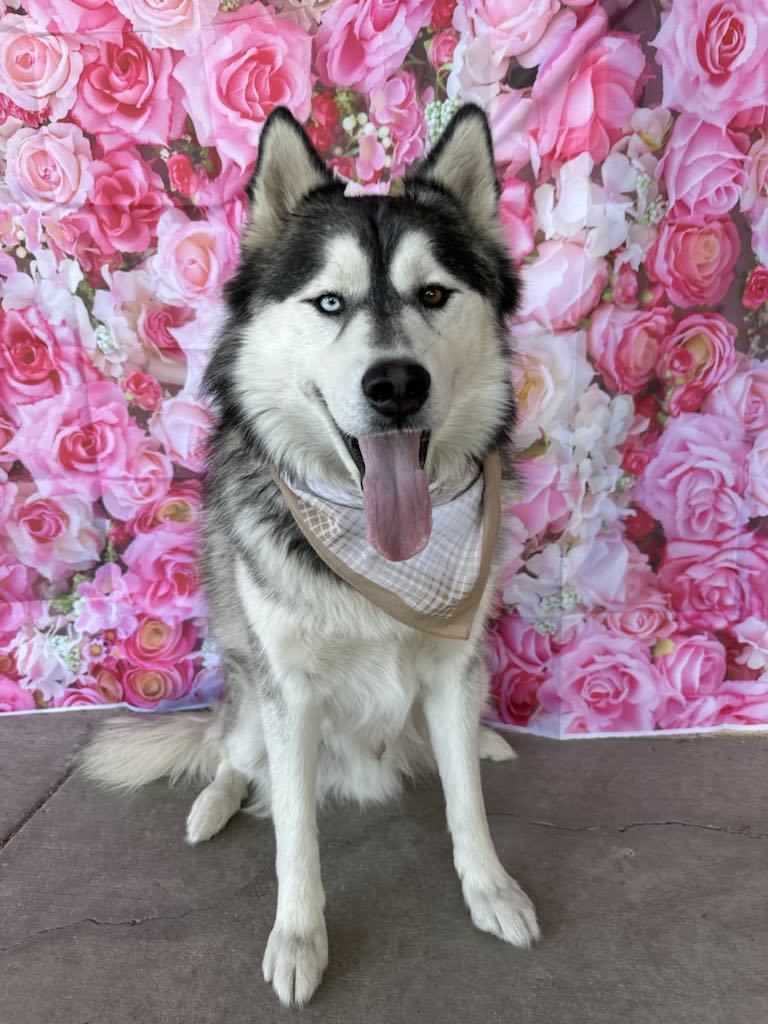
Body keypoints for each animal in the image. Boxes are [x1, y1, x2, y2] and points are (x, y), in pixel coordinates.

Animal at [82, 105, 540, 1007]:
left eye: (434, 294)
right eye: (330, 302)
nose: (395, 385)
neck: (382, 558)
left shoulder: (453, 667)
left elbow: (466, 806)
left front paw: (491, 888)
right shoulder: (287, 694)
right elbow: (295, 833)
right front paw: (299, 939)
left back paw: (481, 743)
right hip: (245, 700)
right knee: (231, 756)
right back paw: (213, 804)